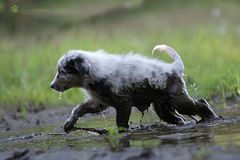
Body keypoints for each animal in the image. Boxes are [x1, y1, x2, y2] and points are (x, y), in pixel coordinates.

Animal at [50, 44, 219, 133]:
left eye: (61, 72)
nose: (51, 86)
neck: (96, 71)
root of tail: (174, 67)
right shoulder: (99, 102)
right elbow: (79, 108)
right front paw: (69, 124)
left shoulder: (123, 102)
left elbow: (121, 121)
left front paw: (122, 133)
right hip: (162, 106)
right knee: (177, 117)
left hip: (177, 99)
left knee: (200, 103)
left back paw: (212, 118)